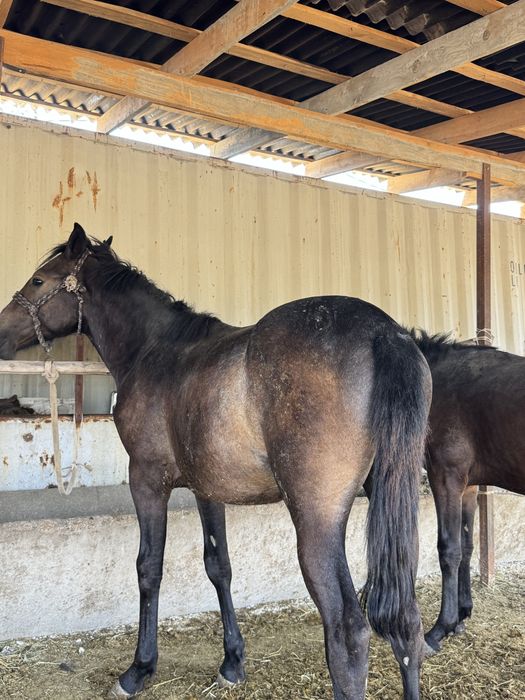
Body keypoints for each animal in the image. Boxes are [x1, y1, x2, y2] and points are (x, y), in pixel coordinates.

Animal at [0, 223, 431, 700]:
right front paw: (232, 662)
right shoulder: (207, 489)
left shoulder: (146, 479)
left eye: (38, 281)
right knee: (407, 621)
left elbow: (149, 567)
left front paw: (139, 669)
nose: (0, 334)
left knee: (348, 631)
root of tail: (384, 334)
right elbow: (218, 566)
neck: (156, 351)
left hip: (317, 520)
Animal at [411, 331, 525, 654]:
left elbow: (449, 550)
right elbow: (467, 546)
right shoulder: (468, 487)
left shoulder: (446, 478)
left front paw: (440, 628)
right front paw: (461, 615)